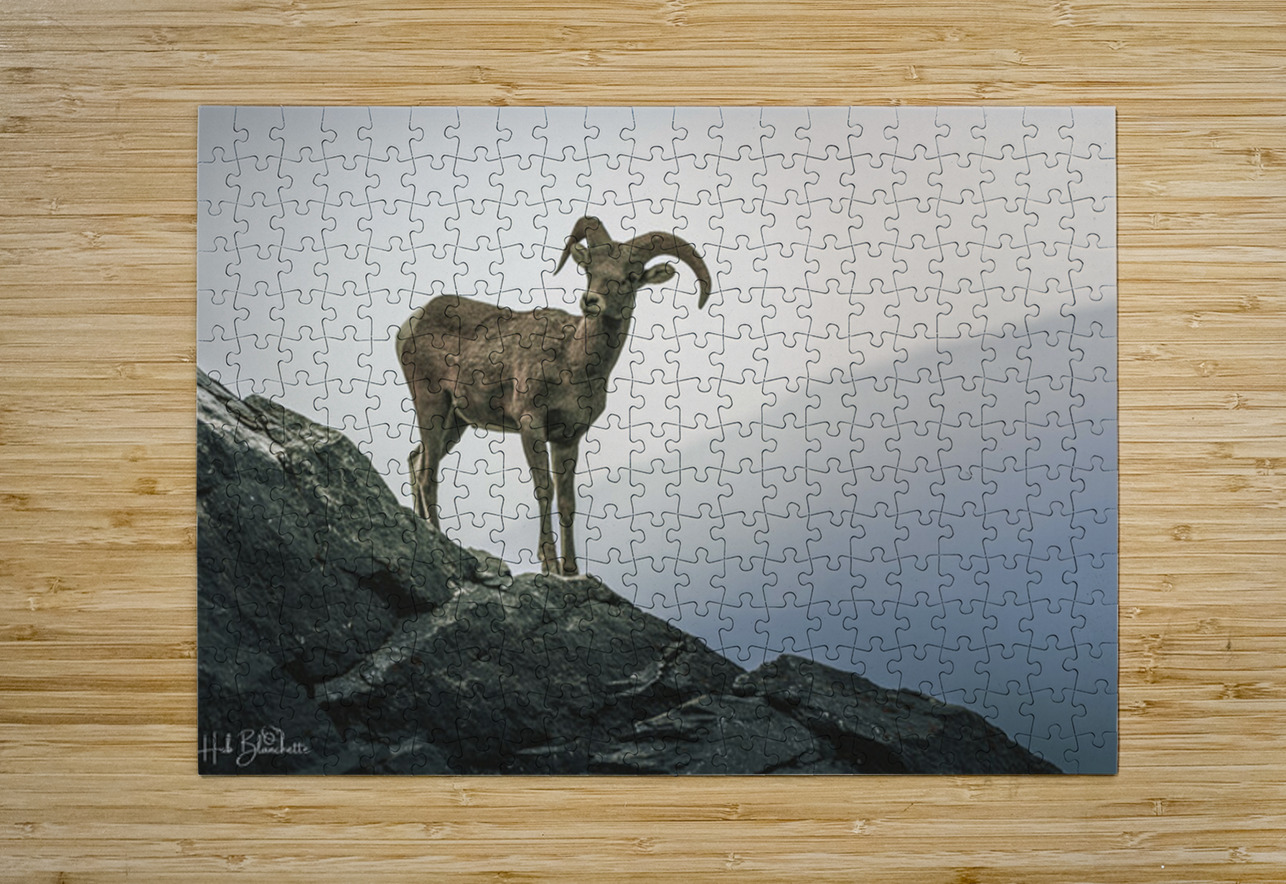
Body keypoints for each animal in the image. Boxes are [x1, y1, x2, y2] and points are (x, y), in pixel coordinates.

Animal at [396, 216, 712, 575]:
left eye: (631, 276)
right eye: (590, 269)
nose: (591, 301)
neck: (572, 361)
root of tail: (410, 324)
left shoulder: (567, 438)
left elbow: (567, 500)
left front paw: (570, 570)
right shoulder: (531, 424)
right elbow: (543, 488)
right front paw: (549, 563)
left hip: (456, 422)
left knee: (417, 459)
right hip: (431, 404)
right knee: (428, 472)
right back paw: (438, 535)